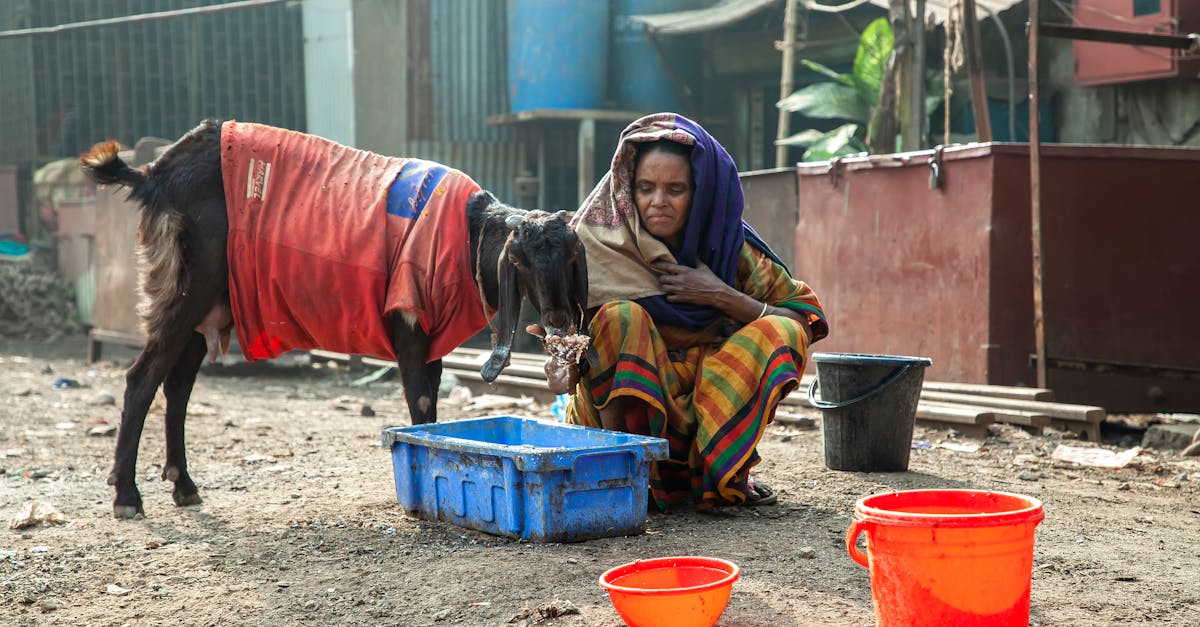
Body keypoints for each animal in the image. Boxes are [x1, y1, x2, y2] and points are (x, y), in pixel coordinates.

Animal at [78, 118, 585, 516]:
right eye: (519, 262)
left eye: (569, 256)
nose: (559, 315)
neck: (465, 231)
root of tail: (154, 172)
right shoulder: (408, 321)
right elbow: (421, 405)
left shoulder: (433, 339)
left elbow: (432, 409)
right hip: (186, 287)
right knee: (143, 377)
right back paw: (126, 496)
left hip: (209, 305)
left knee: (178, 384)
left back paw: (183, 485)